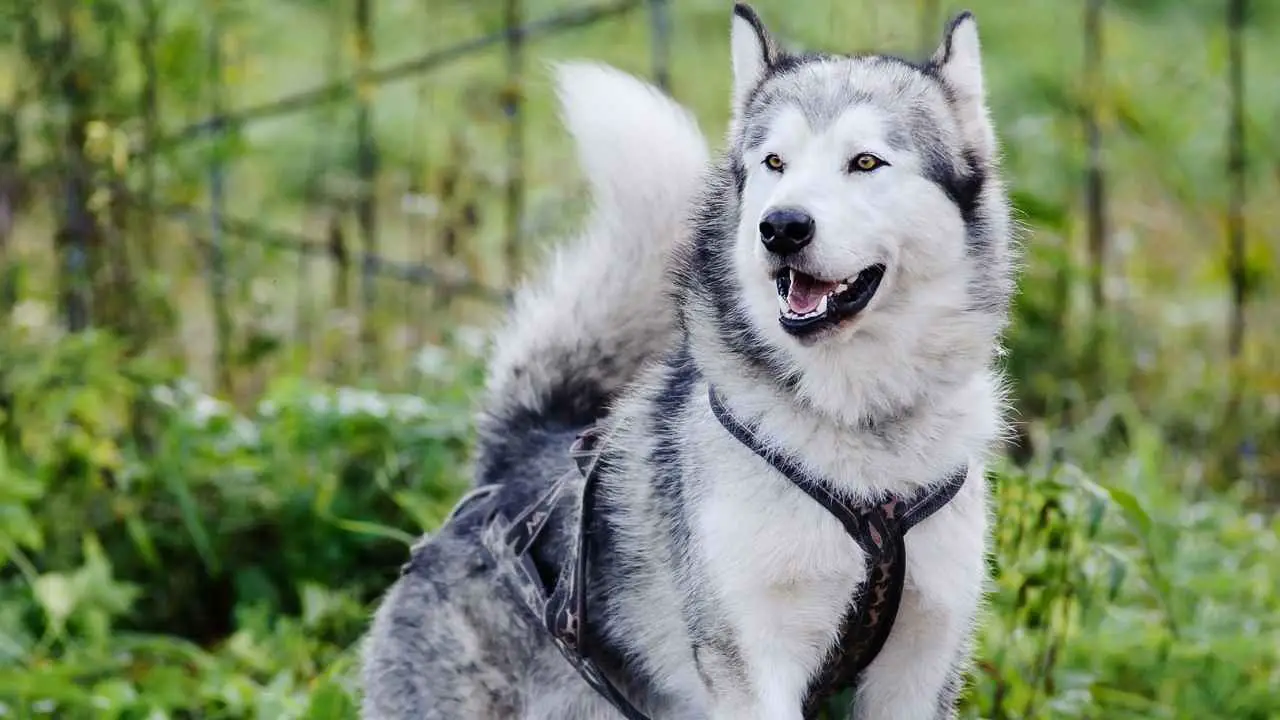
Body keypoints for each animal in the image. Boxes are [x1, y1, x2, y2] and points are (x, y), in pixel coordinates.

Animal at [355, 2, 1013, 712]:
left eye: (865, 162)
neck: (863, 444)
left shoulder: (922, 662)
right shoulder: (754, 663)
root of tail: (510, 464)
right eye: (774, 162)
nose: (782, 227)